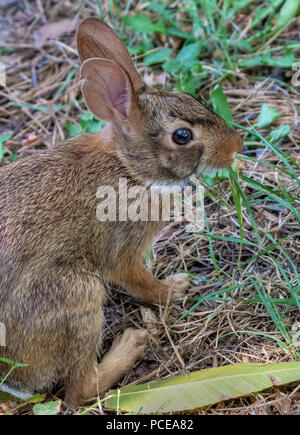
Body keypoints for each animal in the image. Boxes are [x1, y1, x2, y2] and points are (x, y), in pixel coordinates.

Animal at [0, 16, 243, 406]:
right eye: (182, 136)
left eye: (190, 98)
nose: (237, 146)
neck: (128, 167)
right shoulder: (122, 249)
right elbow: (138, 280)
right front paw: (175, 288)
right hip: (76, 296)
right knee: (79, 390)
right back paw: (131, 345)